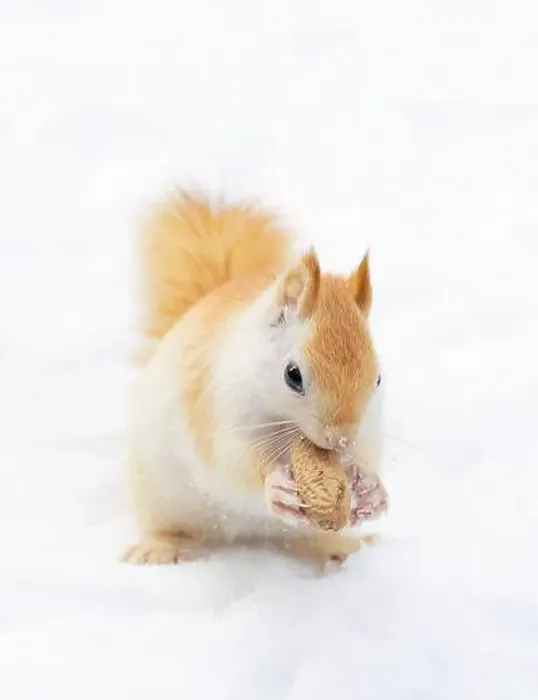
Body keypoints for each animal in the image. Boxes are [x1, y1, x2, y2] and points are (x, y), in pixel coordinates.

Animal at [122, 189, 388, 570]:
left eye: (378, 378)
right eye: (293, 376)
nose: (340, 440)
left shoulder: (368, 427)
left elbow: (365, 456)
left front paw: (372, 489)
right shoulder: (222, 409)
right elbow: (234, 460)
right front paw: (276, 486)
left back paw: (341, 548)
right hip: (161, 492)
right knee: (173, 527)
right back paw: (158, 548)